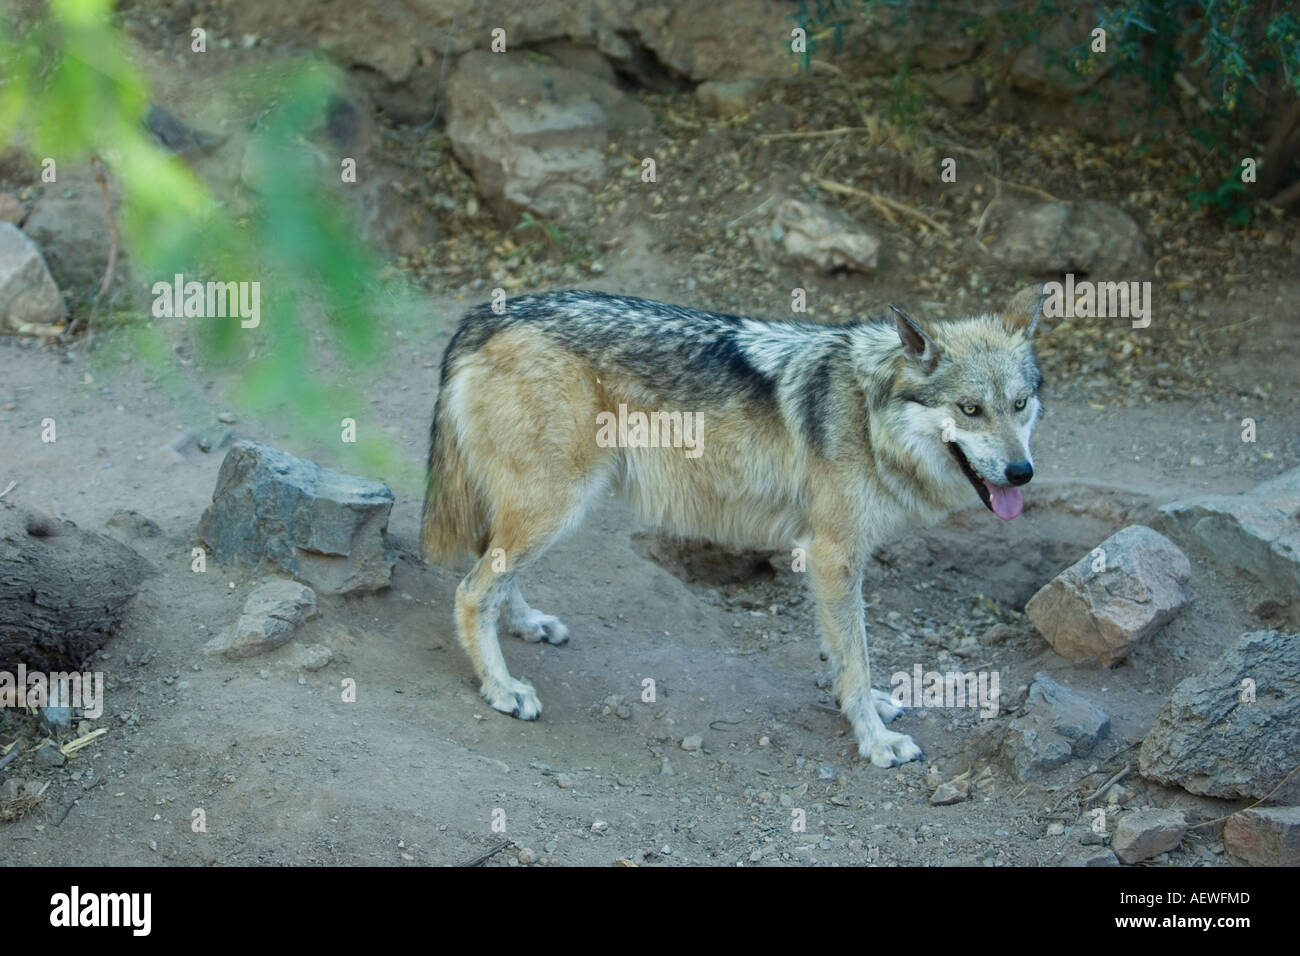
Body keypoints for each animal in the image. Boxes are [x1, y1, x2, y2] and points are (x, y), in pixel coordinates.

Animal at [426, 287, 1045, 764]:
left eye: (1020, 404)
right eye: (970, 410)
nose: (1022, 472)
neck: (869, 414)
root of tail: (484, 315)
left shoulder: (827, 559)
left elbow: (840, 652)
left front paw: (863, 703)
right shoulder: (833, 554)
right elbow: (857, 655)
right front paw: (875, 741)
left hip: (540, 512)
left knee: (492, 574)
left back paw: (527, 624)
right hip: (555, 507)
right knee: (470, 591)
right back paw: (502, 688)